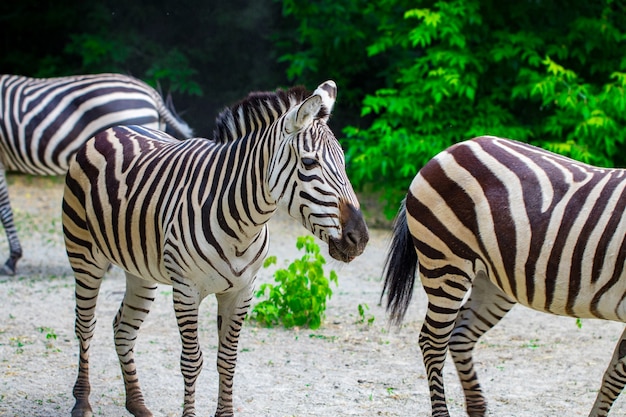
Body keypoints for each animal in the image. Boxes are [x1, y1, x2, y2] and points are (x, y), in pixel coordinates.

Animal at [62, 79, 370, 414]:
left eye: (343, 162)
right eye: (309, 162)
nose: (360, 238)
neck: (243, 226)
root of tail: (114, 129)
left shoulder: (242, 291)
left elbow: (228, 360)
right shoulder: (186, 290)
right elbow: (191, 361)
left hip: (140, 271)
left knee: (124, 328)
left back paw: (137, 404)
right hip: (84, 255)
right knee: (85, 325)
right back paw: (82, 401)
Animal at [382, 135, 626, 414]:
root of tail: (449, 150)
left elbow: (614, 375)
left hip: (491, 280)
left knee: (460, 335)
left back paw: (477, 408)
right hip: (446, 264)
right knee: (433, 342)